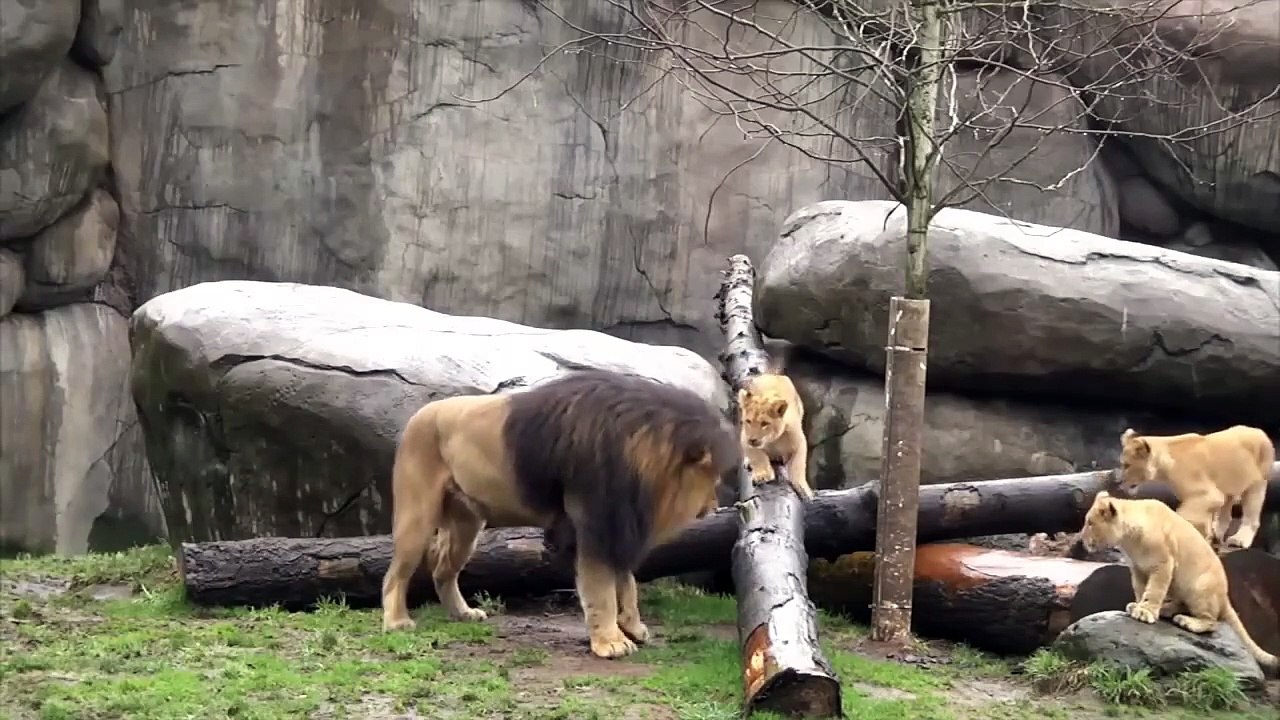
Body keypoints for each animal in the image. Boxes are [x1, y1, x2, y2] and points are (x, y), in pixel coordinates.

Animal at [380, 369, 742, 659]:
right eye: (713, 480)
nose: (713, 506)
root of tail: (418, 414)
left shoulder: (618, 524)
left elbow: (627, 584)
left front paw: (633, 627)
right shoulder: (593, 524)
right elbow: (602, 589)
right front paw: (611, 642)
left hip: (466, 525)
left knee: (442, 568)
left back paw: (462, 613)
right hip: (417, 514)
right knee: (396, 573)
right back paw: (397, 622)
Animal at [737, 372, 815, 501]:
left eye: (764, 423)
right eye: (748, 421)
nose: (752, 439)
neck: (772, 441)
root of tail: (772, 374)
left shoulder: (799, 442)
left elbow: (798, 466)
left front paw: (803, 489)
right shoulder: (744, 437)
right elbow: (757, 456)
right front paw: (762, 475)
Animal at [1079, 491, 1278, 677]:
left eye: (1090, 523)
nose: (1081, 540)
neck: (1129, 540)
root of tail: (1224, 597)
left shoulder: (1164, 564)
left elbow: (1154, 590)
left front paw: (1145, 611)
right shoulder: (1137, 568)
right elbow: (1141, 589)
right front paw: (1137, 606)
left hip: (1199, 588)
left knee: (1212, 622)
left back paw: (1187, 621)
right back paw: (1167, 609)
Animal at [1116, 425, 1274, 550]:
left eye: (1127, 465)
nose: (1119, 482)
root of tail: (1260, 431)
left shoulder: (1208, 494)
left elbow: (1184, 513)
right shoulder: (1207, 498)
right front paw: (1206, 536)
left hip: (1257, 483)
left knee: (1251, 515)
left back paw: (1239, 540)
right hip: (1229, 485)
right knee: (1226, 512)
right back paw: (1217, 533)